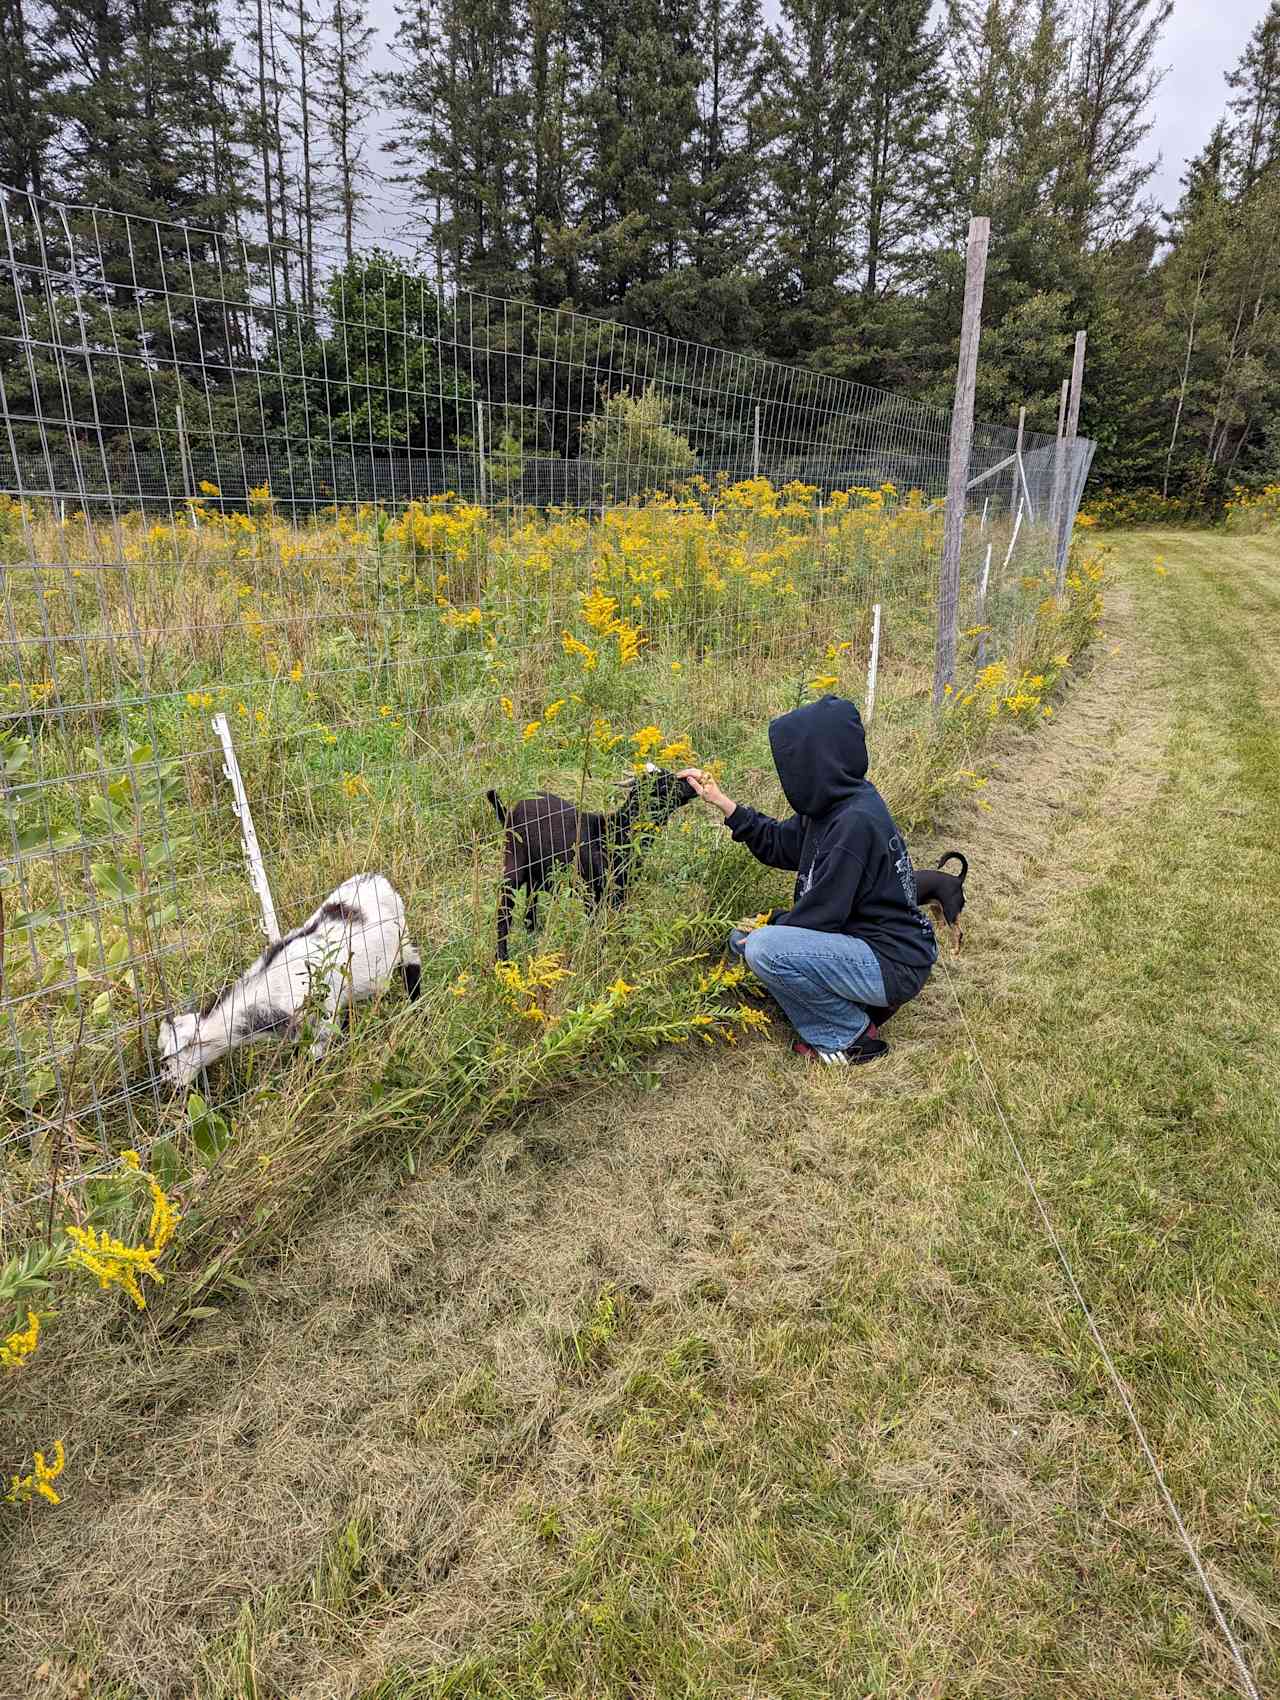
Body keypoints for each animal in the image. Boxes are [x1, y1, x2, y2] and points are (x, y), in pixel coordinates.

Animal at [156, 877, 419, 1088]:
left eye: (168, 1061)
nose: (166, 1084)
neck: (269, 987)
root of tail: (379, 880)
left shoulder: (322, 1020)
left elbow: (314, 1057)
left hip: (402, 940)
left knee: (412, 966)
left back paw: (415, 1004)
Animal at [482, 765, 693, 965]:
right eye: (665, 785)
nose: (692, 785)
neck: (613, 834)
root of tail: (511, 811)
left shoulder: (622, 891)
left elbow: (620, 924)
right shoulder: (591, 891)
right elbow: (596, 926)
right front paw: (597, 957)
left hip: (538, 874)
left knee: (529, 909)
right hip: (513, 864)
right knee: (504, 913)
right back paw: (503, 959)